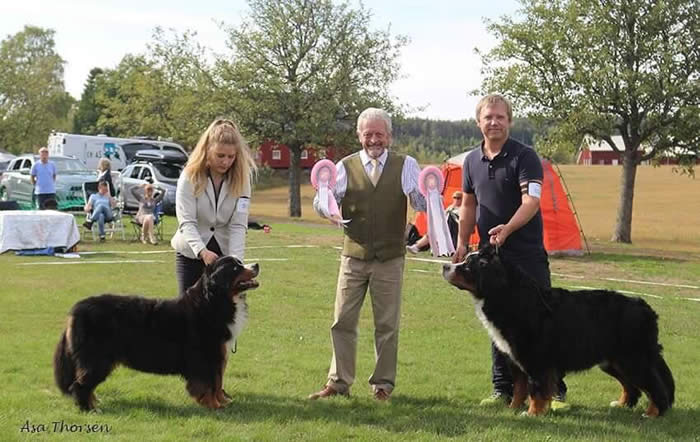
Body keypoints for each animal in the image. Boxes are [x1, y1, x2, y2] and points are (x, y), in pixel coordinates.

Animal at [52, 256, 260, 410]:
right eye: (235, 268)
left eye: (240, 263)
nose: (257, 265)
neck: (213, 302)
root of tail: (75, 310)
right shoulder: (205, 357)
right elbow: (209, 384)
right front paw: (214, 405)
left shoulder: (217, 355)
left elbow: (217, 382)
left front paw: (223, 401)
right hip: (97, 358)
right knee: (80, 385)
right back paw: (89, 408)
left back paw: (94, 402)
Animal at [440, 247, 676, 416]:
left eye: (467, 266)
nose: (445, 266)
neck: (511, 297)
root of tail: (645, 307)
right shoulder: (515, 359)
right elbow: (519, 388)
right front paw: (512, 409)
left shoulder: (536, 359)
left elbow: (536, 390)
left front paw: (532, 413)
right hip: (613, 361)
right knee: (631, 386)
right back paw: (622, 404)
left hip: (634, 359)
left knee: (655, 387)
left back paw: (653, 413)